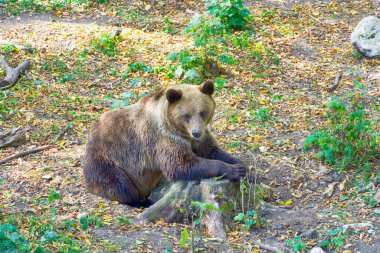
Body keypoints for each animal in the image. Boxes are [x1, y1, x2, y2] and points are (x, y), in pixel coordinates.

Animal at [83, 80, 246, 207]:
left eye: (202, 112)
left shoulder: (199, 138)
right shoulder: (163, 139)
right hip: (109, 160)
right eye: (186, 115)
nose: (196, 132)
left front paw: (244, 169)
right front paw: (234, 170)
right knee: (120, 185)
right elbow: (181, 164)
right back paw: (142, 201)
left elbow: (213, 151)